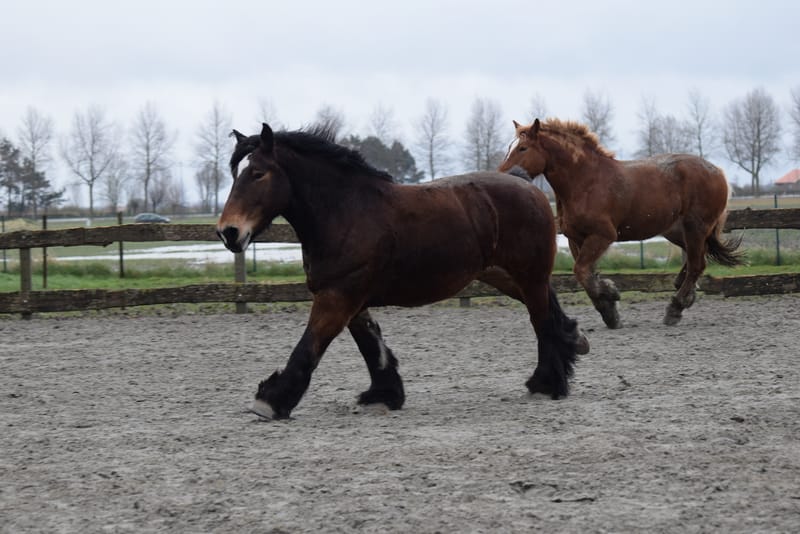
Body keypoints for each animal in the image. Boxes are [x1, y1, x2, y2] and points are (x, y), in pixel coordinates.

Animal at [216, 123, 589, 419]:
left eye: (258, 173)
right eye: (237, 174)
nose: (228, 232)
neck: (346, 212)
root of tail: (525, 184)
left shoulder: (338, 297)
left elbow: (309, 346)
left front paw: (271, 401)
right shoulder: (348, 298)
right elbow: (372, 346)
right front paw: (385, 394)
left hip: (527, 274)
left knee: (541, 321)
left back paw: (547, 382)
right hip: (506, 275)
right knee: (549, 311)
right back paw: (573, 345)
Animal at [499, 118, 743, 328]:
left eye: (523, 148)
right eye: (510, 147)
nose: (502, 176)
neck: (585, 182)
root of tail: (718, 172)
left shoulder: (603, 236)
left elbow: (582, 271)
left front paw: (610, 299)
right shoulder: (576, 239)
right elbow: (586, 275)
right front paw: (609, 307)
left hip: (695, 228)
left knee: (696, 264)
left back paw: (675, 308)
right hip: (677, 231)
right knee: (698, 260)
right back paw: (685, 292)